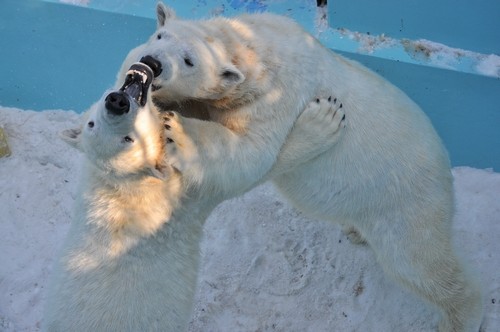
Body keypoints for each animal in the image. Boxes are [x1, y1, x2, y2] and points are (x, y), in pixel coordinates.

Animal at [115, 3, 482, 332]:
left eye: (190, 60)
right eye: (160, 35)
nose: (153, 63)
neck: (253, 49)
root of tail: (444, 167)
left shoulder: (279, 95)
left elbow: (251, 153)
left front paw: (177, 130)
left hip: (406, 202)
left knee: (418, 262)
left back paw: (461, 317)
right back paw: (356, 231)